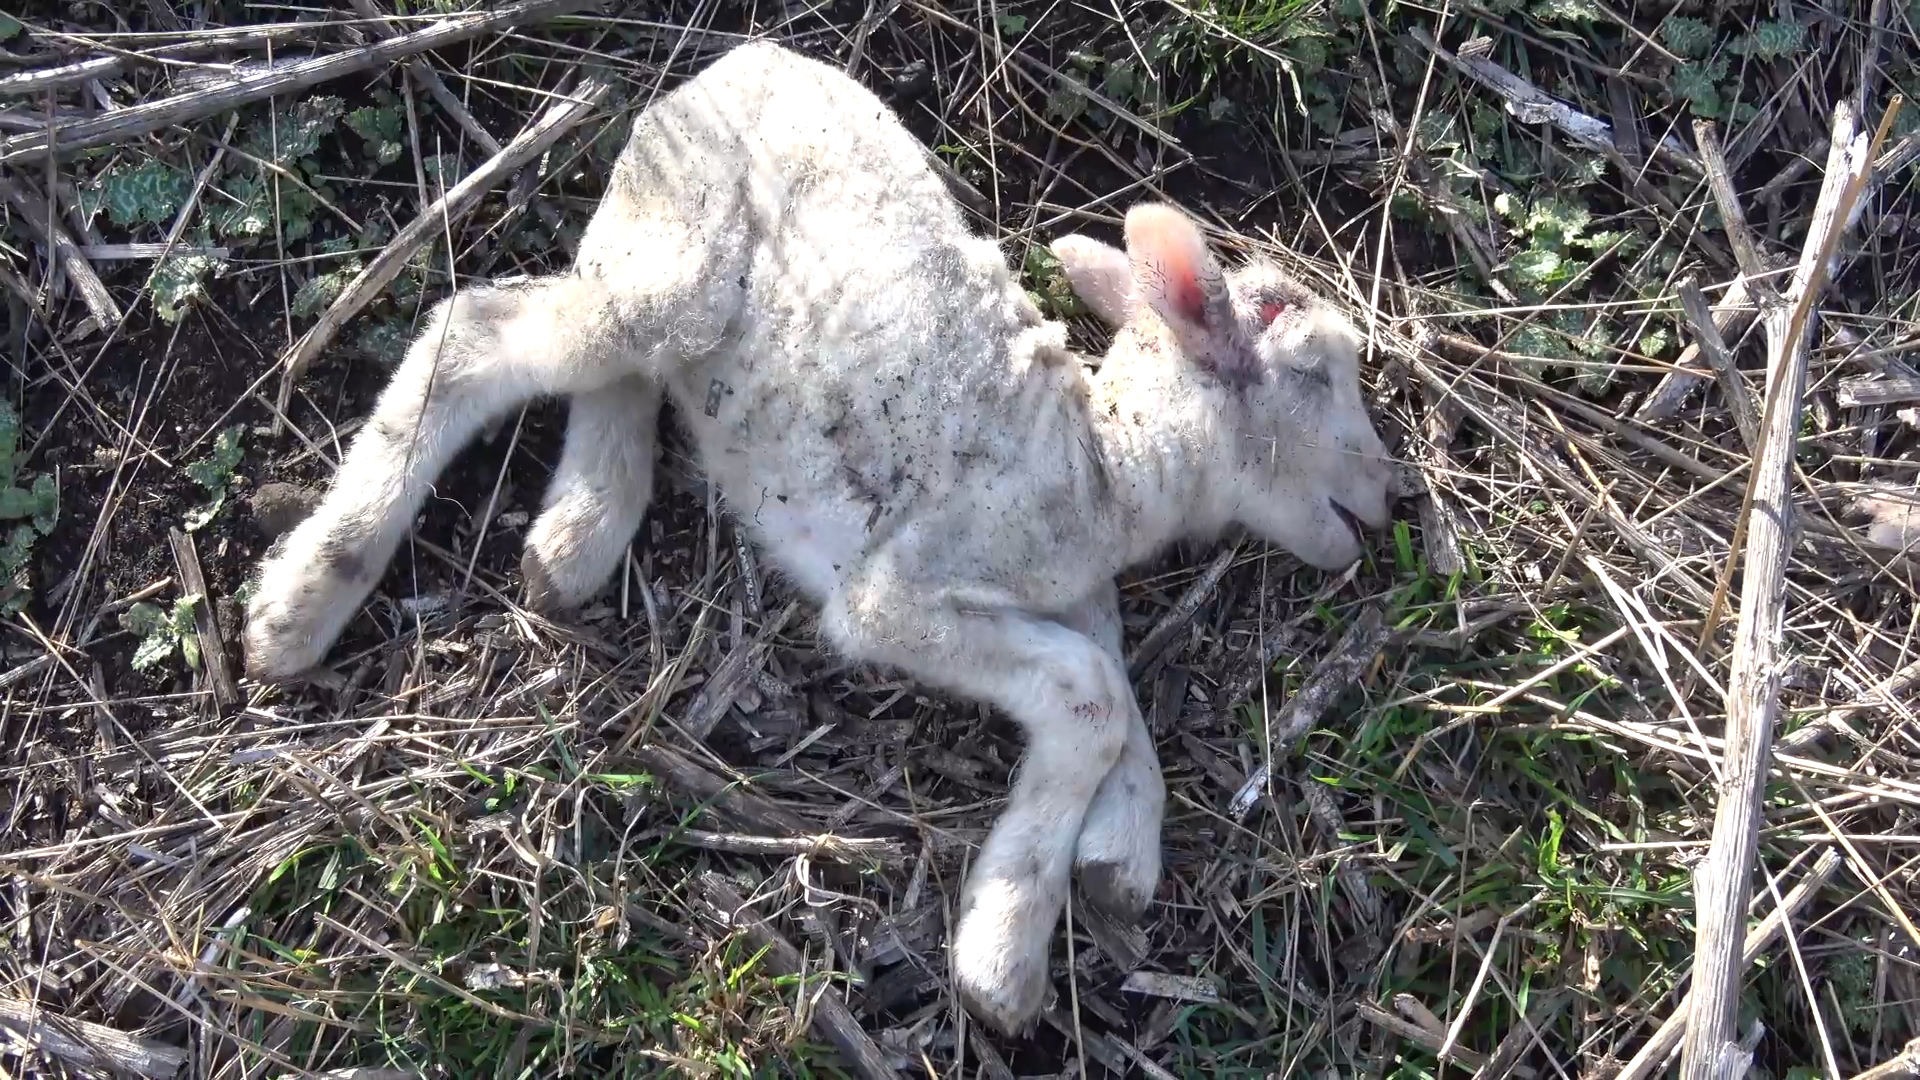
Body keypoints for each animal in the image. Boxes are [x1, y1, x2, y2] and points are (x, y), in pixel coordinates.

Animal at [243, 39, 1397, 1037]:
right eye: (1315, 373)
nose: (1387, 504)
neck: (1106, 472)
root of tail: (729, 61)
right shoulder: (899, 598)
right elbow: (1095, 695)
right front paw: (1004, 961)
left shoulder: (1072, 595)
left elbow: (1122, 700)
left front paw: (1119, 859)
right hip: (673, 267)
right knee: (475, 332)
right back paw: (303, 602)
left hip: (667, 288)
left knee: (619, 376)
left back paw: (571, 543)